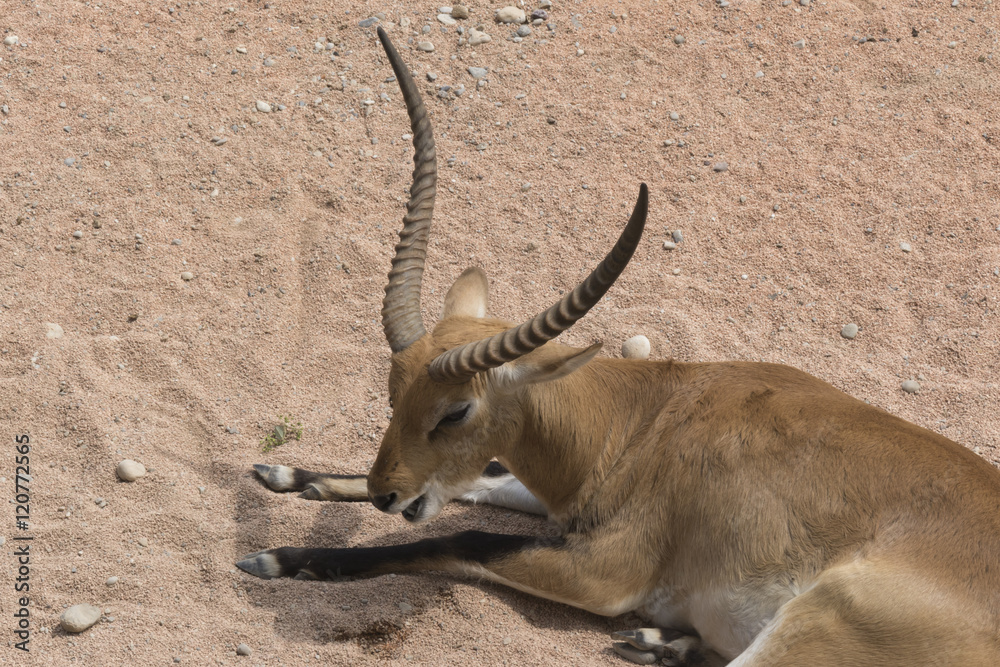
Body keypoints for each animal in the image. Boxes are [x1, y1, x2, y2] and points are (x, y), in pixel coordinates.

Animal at [237, 27, 1000, 665]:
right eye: (393, 391)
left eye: (455, 411)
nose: (384, 494)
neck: (645, 418)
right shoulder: (567, 502)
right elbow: (489, 480)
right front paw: (290, 476)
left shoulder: (602, 572)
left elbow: (463, 535)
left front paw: (279, 559)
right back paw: (665, 644)